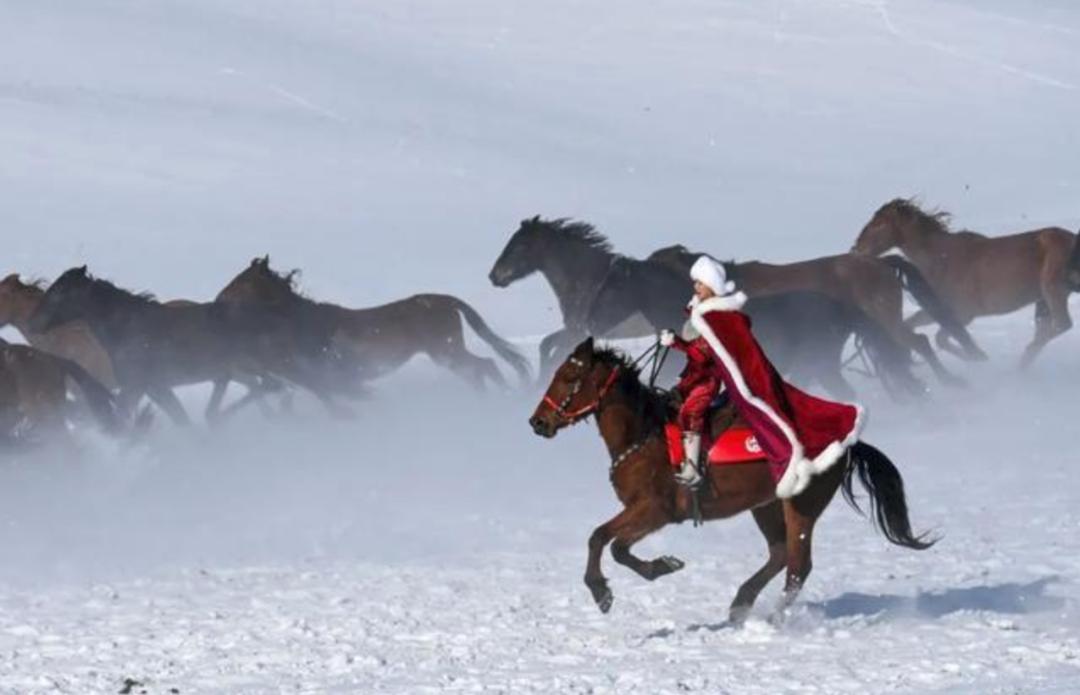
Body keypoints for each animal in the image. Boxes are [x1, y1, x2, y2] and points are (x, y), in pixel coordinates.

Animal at [216, 256, 531, 388]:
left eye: (241, 282)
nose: (219, 298)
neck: (303, 323)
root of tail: (447, 300)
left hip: (446, 351)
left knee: (483, 366)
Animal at [527, 336, 933, 617]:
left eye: (568, 376)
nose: (538, 422)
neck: (643, 434)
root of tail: (847, 443)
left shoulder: (655, 510)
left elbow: (605, 541)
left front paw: (605, 589)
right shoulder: (643, 511)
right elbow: (611, 543)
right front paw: (656, 568)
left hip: (801, 505)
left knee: (798, 567)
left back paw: (773, 618)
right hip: (765, 505)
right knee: (780, 555)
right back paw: (741, 602)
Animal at [851, 198, 1080, 366]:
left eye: (878, 224)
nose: (856, 249)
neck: (941, 258)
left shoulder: (963, 313)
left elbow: (943, 337)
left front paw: (978, 356)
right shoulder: (938, 309)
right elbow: (915, 327)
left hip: (1052, 289)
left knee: (1061, 324)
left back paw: (1024, 357)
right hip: (1043, 300)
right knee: (1047, 327)